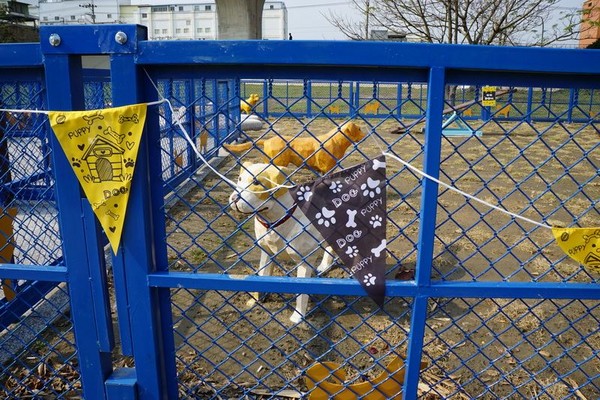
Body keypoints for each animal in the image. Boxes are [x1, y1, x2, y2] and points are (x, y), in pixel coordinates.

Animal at [227, 162, 336, 322]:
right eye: (240, 178)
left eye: (257, 183)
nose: (234, 198)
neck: (275, 222)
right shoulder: (266, 252)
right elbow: (263, 276)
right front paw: (256, 300)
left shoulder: (304, 261)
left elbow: (301, 293)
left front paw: (297, 318)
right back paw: (324, 266)